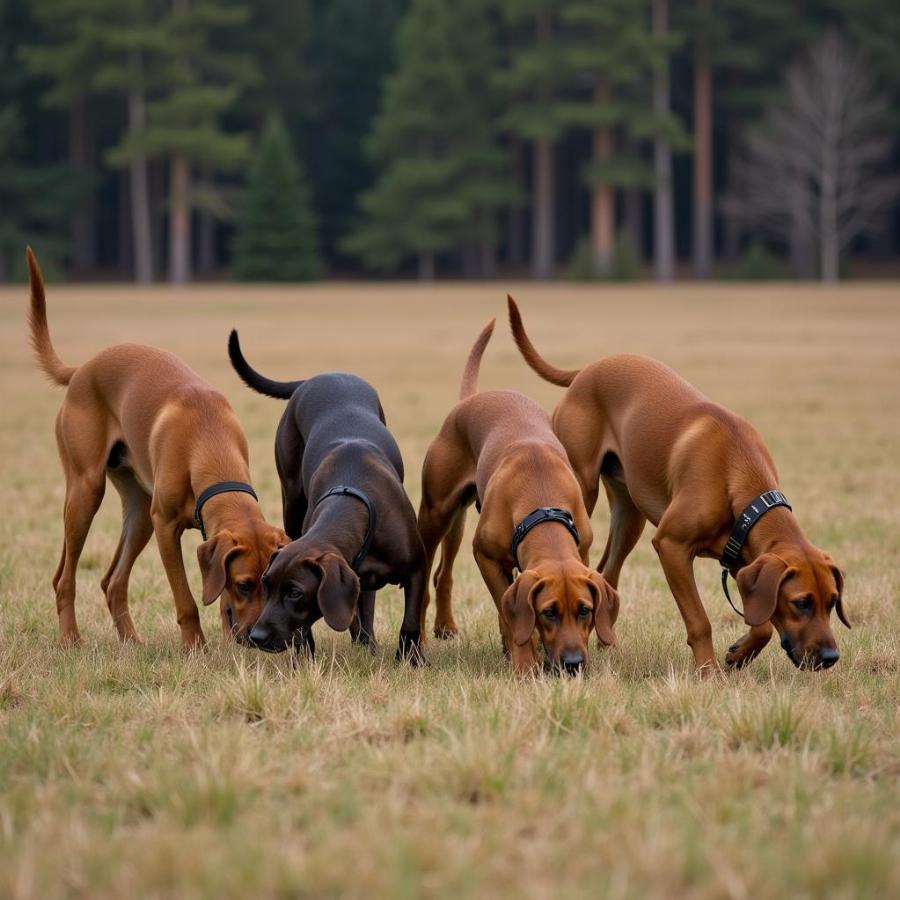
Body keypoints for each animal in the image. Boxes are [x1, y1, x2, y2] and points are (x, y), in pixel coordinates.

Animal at [27, 250, 288, 652]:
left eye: (269, 584)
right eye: (244, 584)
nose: (258, 639)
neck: (208, 442)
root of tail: (82, 369)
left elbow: (216, 596)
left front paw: (227, 643)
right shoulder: (166, 526)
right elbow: (186, 599)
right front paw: (195, 648)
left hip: (138, 511)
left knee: (113, 581)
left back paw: (132, 642)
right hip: (87, 491)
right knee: (64, 578)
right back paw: (71, 638)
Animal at [223, 330, 424, 660]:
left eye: (295, 593)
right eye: (266, 585)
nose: (257, 636)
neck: (353, 503)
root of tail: (315, 378)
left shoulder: (417, 568)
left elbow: (411, 621)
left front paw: (412, 660)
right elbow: (308, 627)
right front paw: (304, 658)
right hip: (291, 498)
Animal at [414, 320, 620, 672]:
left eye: (585, 610)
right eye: (549, 612)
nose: (573, 663)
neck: (542, 500)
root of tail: (472, 399)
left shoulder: (582, 552)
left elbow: (513, 610)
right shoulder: (484, 555)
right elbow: (510, 612)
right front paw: (525, 664)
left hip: (458, 520)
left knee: (443, 573)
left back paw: (450, 627)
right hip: (435, 513)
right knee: (426, 578)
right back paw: (423, 642)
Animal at [510, 298, 848, 676]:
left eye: (832, 602)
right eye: (801, 602)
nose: (831, 657)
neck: (739, 471)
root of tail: (588, 370)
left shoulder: (741, 552)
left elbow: (761, 622)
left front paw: (739, 654)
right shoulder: (671, 546)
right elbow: (700, 621)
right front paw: (709, 673)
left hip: (630, 516)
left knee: (604, 573)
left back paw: (609, 646)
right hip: (581, 489)